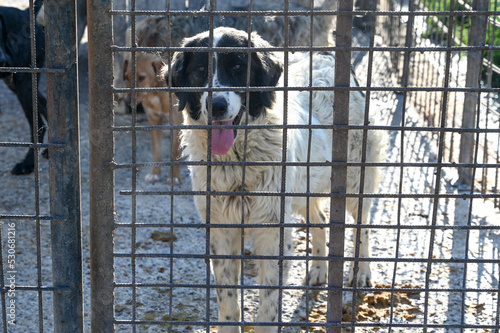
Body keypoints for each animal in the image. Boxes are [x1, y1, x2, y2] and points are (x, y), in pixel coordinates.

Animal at [122, 53, 183, 185]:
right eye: (126, 77)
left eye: (141, 78)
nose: (127, 101)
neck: (155, 92)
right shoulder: (154, 121)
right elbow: (156, 151)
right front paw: (154, 173)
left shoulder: (177, 123)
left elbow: (175, 152)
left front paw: (174, 176)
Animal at [170, 27, 384, 330]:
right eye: (200, 70)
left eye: (238, 68)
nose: (217, 105)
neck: (236, 162)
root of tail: (325, 55)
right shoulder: (222, 231)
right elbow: (228, 300)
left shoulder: (273, 233)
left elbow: (269, 302)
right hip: (305, 187)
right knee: (320, 219)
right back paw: (319, 269)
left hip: (356, 183)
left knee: (362, 226)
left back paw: (362, 272)